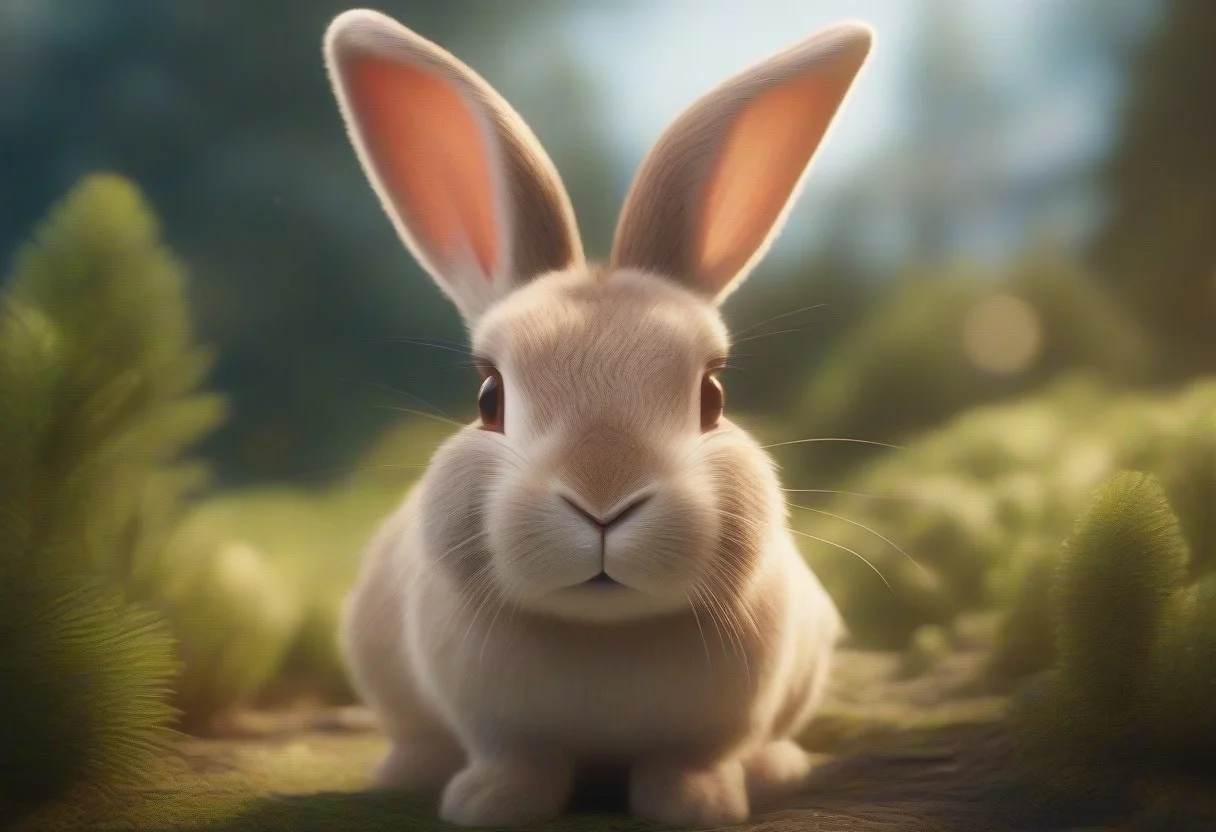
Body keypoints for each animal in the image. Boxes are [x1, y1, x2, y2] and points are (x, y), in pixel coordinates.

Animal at [324, 8, 873, 828]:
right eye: (489, 400)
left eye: (712, 397)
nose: (604, 501)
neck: (604, 633)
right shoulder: (498, 726)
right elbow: (520, 762)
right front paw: (490, 804)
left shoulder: (717, 723)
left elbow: (691, 760)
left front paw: (699, 804)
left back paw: (778, 770)